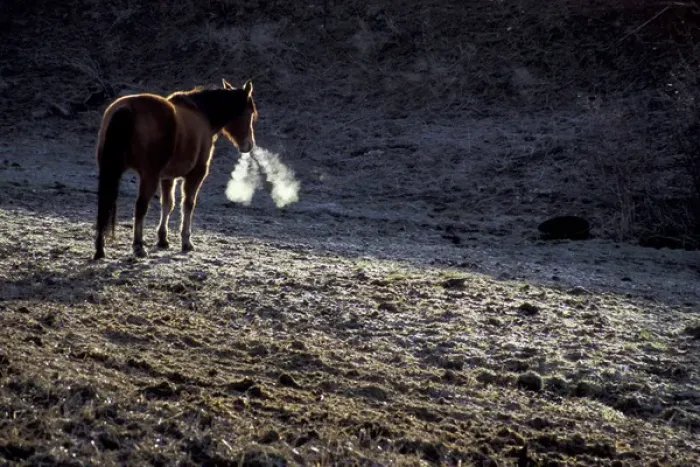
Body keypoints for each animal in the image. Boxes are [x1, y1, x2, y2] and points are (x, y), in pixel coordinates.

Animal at [93, 78, 258, 260]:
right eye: (250, 112)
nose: (249, 144)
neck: (201, 114)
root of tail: (127, 108)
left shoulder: (167, 177)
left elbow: (167, 204)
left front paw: (162, 239)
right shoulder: (196, 174)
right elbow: (188, 204)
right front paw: (186, 241)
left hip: (110, 170)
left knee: (104, 204)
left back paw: (100, 249)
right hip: (148, 176)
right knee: (140, 207)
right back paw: (138, 246)